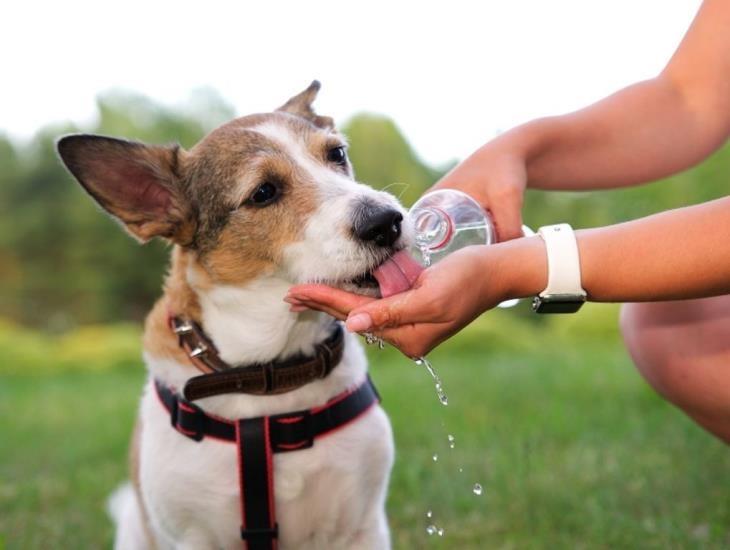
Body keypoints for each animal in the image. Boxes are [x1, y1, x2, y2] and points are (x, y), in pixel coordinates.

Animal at [56, 82, 410, 550]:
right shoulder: (191, 537)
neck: (269, 377)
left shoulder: (362, 527)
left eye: (336, 154)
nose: (386, 221)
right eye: (263, 193)